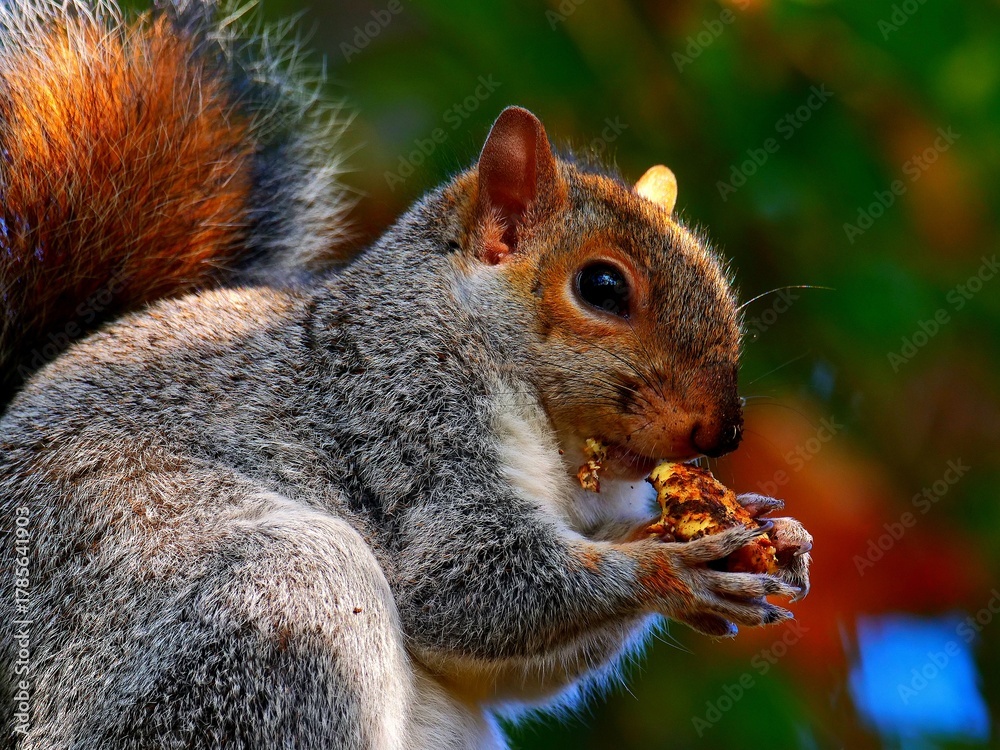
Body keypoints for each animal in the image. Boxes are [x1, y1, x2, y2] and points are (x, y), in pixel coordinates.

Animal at [0, 1, 813, 748]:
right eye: (604, 286)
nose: (724, 429)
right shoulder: (402, 416)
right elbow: (459, 583)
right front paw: (672, 566)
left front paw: (766, 527)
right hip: (273, 608)